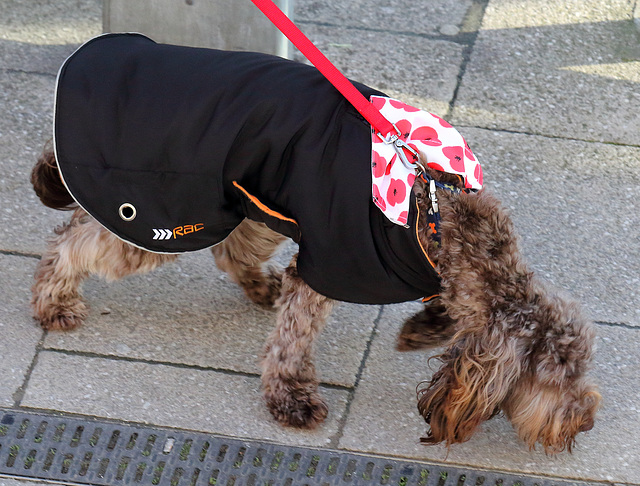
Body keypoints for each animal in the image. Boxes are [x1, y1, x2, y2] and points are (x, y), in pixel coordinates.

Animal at [30, 32, 600, 454]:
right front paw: (291, 398)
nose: (588, 419)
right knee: (74, 240)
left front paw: (420, 330)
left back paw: (260, 286)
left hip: (250, 200)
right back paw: (53, 300)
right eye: (556, 378)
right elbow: (293, 340)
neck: (436, 214)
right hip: (161, 213)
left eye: (581, 369)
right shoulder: (329, 263)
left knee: (229, 249)